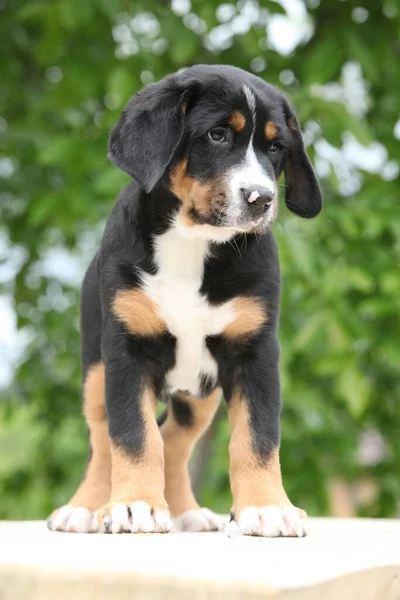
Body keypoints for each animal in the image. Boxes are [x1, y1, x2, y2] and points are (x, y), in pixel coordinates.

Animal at [47, 64, 322, 536]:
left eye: (275, 147)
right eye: (217, 135)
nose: (262, 199)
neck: (193, 241)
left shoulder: (255, 351)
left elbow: (258, 438)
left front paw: (266, 506)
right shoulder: (126, 352)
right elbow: (133, 437)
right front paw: (135, 504)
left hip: (199, 393)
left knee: (175, 438)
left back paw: (186, 511)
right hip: (96, 371)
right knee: (103, 439)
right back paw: (84, 508)